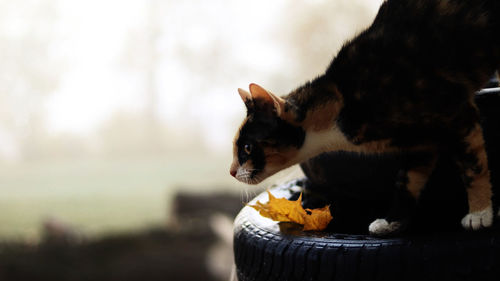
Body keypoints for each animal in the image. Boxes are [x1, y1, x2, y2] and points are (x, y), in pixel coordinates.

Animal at [229, 0, 500, 236]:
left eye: (247, 147)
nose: (231, 172)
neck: (340, 107)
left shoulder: (457, 114)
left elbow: (472, 165)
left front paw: (479, 213)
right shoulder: (421, 143)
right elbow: (407, 181)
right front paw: (392, 221)